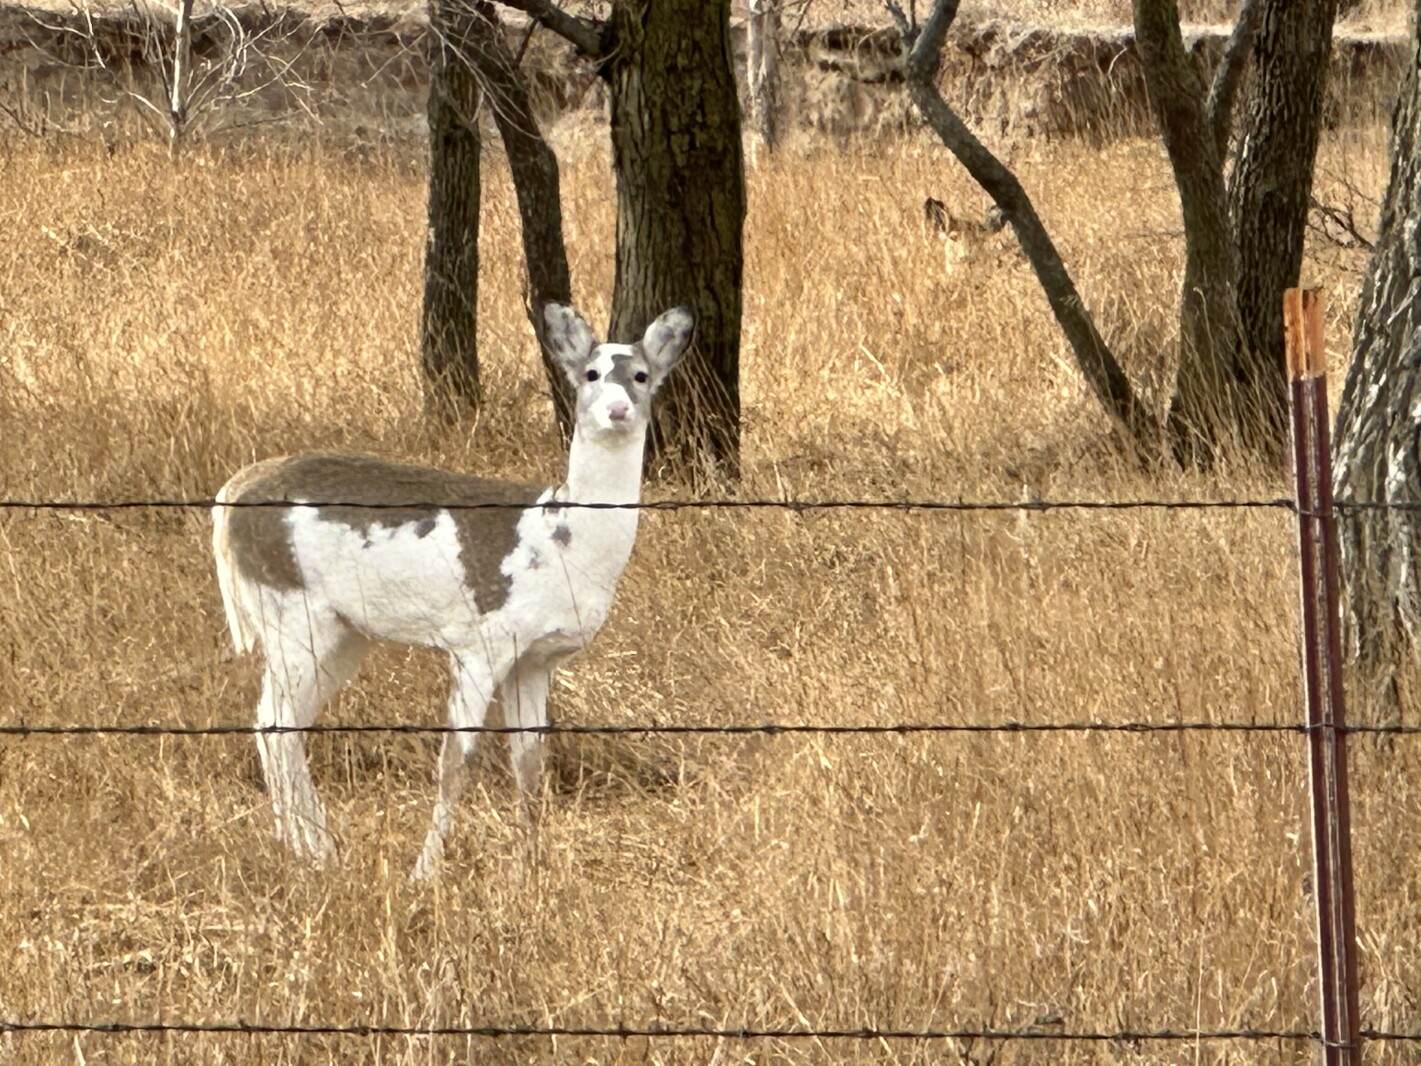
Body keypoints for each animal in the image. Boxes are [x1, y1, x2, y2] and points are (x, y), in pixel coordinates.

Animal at [211, 303, 693, 879]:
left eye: (642, 376)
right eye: (591, 374)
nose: (617, 410)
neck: (562, 542)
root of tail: (231, 493)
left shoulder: (537, 658)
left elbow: (530, 763)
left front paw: (530, 867)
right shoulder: (481, 642)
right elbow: (454, 762)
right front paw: (425, 872)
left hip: (342, 633)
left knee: (283, 722)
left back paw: (311, 848)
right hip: (290, 612)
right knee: (273, 722)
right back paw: (309, 851)